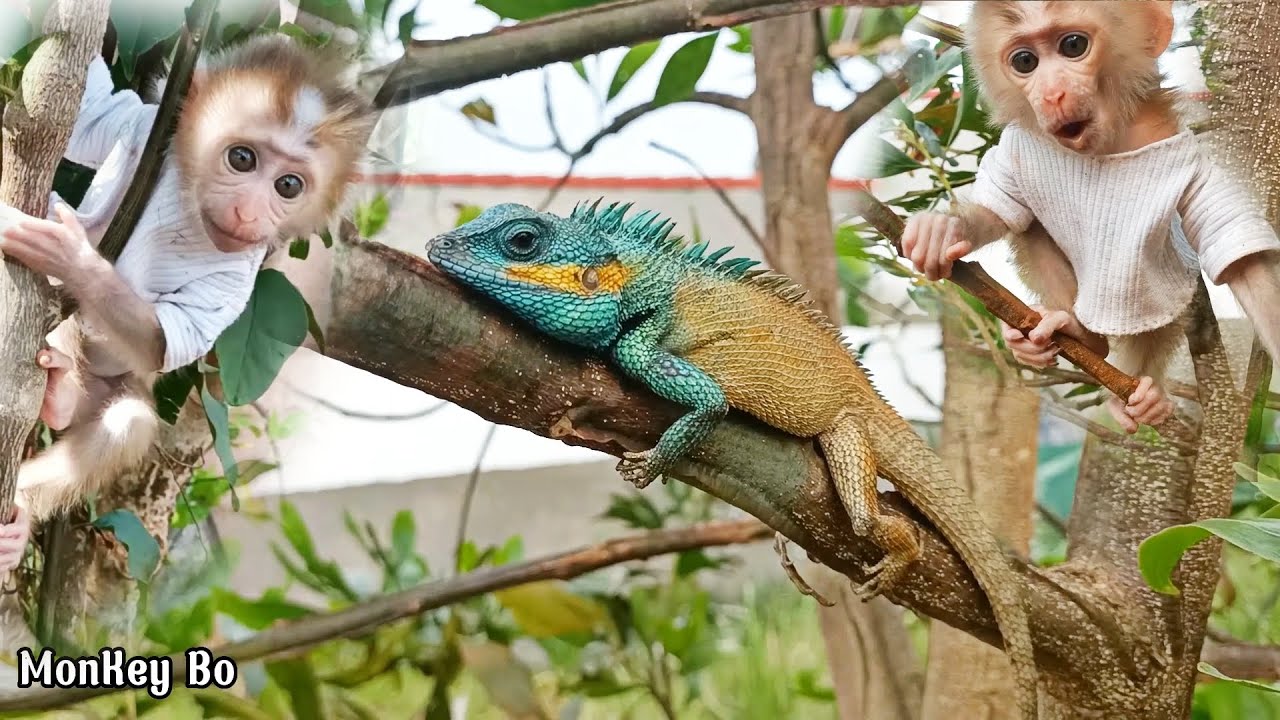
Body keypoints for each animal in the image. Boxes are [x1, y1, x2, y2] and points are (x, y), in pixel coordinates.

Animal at [0, 33, 377, 556]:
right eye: (242, 159)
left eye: (288, 186)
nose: (249, 212)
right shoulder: (141, 128)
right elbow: (94, 112)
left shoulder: (241, 272)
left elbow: (169, 340)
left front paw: (69, 255)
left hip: (115, 389)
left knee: (128, 422)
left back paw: (53, 419)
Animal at [900, 0, 1280, 435]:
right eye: (1025, 61)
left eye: (1073, 46)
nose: (1053, 95)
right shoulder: (1019, 144)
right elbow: (1001, 210)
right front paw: (941, 232)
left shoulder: (1193, 159)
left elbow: (1238, 257)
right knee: (1029, 223)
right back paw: (1077, 335)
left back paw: (1142, 395)